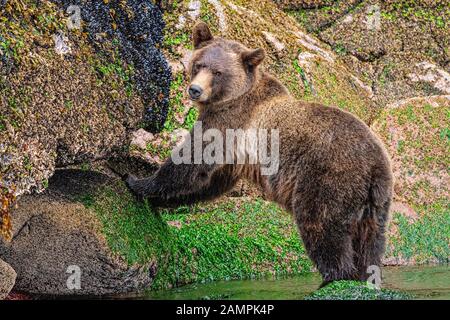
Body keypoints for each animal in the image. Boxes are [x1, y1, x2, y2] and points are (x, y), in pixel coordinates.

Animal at [125, 23, 390, 288]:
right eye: (199, 64)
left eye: (218, 72)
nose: (195, 90)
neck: (230, 98)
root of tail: (374, 164)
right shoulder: (233, 156)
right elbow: (208, 182)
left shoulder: (228, 122)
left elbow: (191, 161)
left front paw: (135, 180)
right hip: (376, 201)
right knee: (370, 243)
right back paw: (366, 276)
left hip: (328, 177)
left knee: (322, 226)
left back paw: (334, 277)